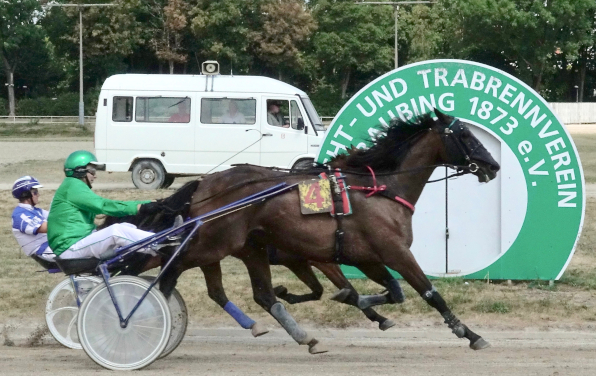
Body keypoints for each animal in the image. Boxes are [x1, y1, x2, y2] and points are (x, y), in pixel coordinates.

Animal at [158, 108, 498, 352]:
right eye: (465, 134)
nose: (492, 166)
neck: (380, 189)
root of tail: (204, 183)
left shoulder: (365, 256)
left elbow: (391, 292)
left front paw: (364, 304)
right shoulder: (394, 252)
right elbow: (429, 293)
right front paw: (470, 333)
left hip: (246, 247)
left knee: (255, 294)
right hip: (214, 243)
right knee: (171, 266)